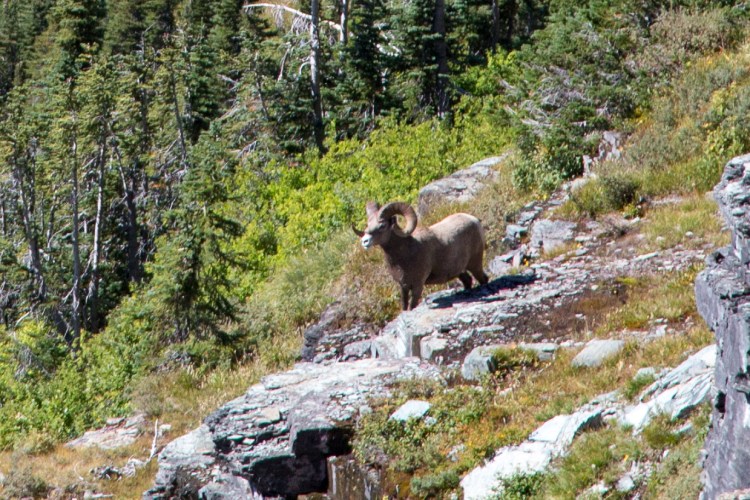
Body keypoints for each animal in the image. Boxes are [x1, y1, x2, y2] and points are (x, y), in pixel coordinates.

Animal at [352, 201, 489, 310]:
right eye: (368, 225)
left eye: (382, 225)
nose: (365, 241)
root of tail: (475, 220)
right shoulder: (403, 286)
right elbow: (404, 306)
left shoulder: (418, 285)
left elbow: (412, 306)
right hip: (460, 271)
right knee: (468, 280)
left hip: (475, 264)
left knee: (483, 279)